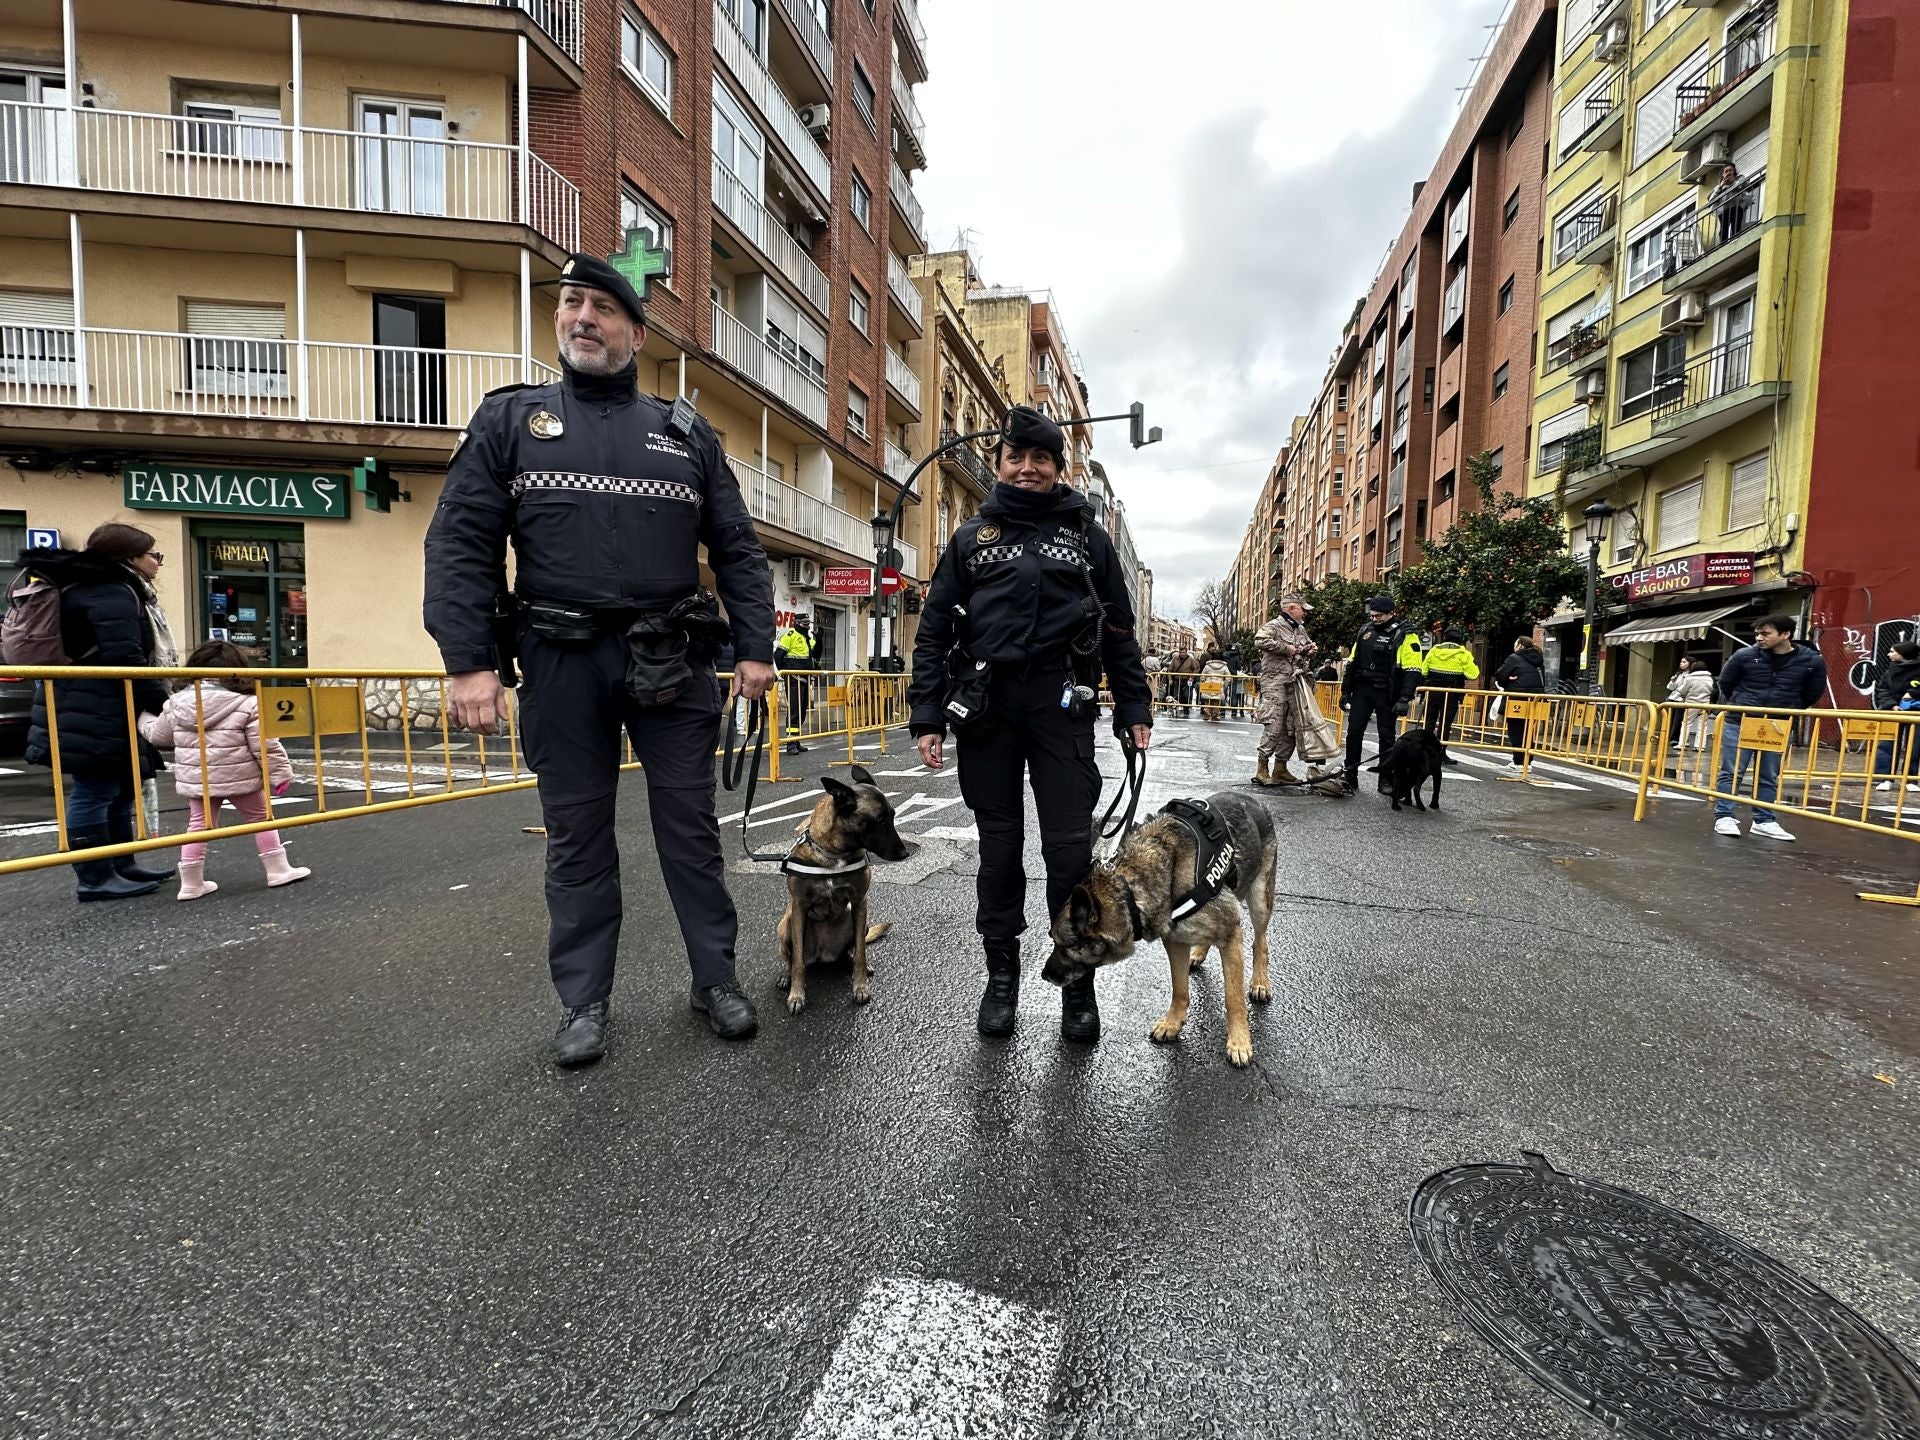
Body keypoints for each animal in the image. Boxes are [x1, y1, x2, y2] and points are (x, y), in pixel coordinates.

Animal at [771, 768, 906, 1013]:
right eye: (880, 820)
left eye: (892, 816)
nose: (904, 854)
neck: (834, 854)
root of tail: (822, 956)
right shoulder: (799, 907)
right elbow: (797, 963)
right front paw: (797, 995)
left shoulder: (860, 902)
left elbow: (861, 952)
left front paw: (860, 986)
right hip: (785, 925)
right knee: (792, 958)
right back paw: (786, 977)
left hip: (857, 921)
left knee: (851, 953)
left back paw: (851, 963)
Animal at [1044, 794, 1282, 1067]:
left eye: (1065, 946)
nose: (1044, 975)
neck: (1131, 890)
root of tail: (1250, 799)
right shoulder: (1175, 941)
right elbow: (1179, 988)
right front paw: (1173, 1023)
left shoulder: (1231, 935)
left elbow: (1233, 998)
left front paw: (1240, 1042)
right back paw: (1198, 954)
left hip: (1260, 901)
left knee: (1260, 941)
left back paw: (1260, 982)